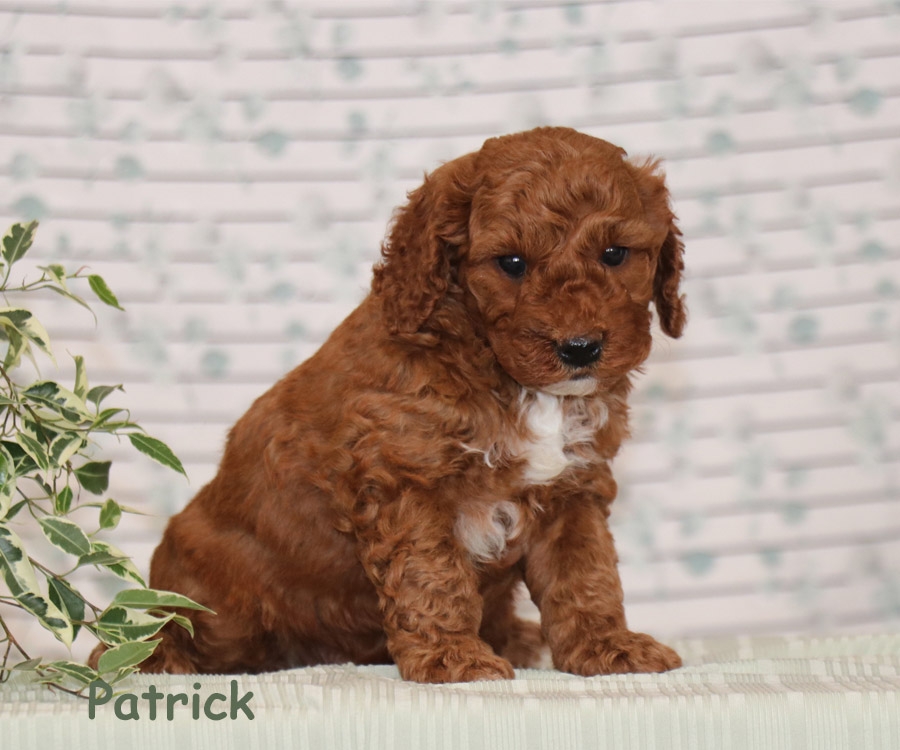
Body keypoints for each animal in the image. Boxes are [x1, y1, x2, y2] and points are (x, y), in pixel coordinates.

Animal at [119, 126, 685, 682]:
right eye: (512, 263)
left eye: (614, 254)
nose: (580, 348)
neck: (505, 375)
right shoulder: (405, 479)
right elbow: (431, 575)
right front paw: (454, 659)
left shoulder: (574, 490)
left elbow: (585, 574)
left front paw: (607, 646)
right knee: (159, 632)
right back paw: (157, 658)